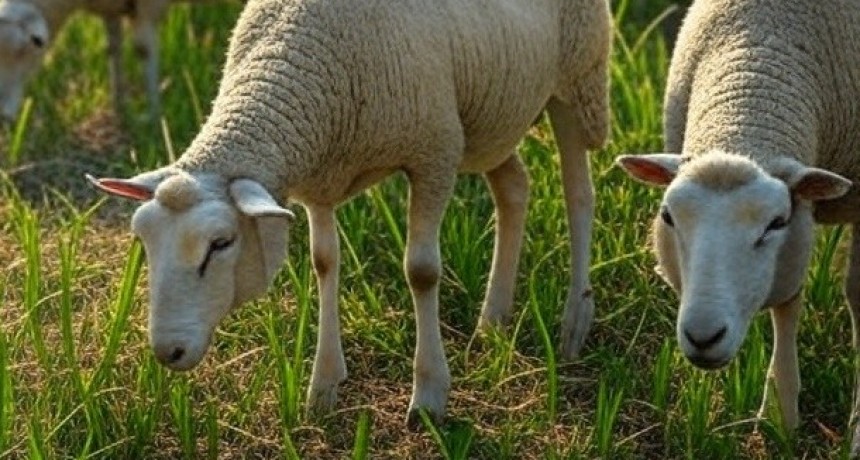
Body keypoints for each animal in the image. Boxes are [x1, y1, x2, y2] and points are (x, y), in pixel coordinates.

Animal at [0, 0, 225, 122]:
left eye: (36, 41)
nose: (2, 116)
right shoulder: (109, 8)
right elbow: (113, 49)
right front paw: (119, 107)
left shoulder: (148, 8)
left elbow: (144, 51)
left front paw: (152, 117)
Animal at [86, 0, 612, 423]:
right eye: (143, 241)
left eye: (220, 244)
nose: (167, 351)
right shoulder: (321, 178)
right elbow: (325, 263)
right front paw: (323, 387)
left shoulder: (434, 152)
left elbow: (421, 271)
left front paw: (429, 397)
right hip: (492, 113)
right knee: (514, 188)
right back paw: (492, 321)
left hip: (578, 74)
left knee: (578, 195)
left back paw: (573, 324)